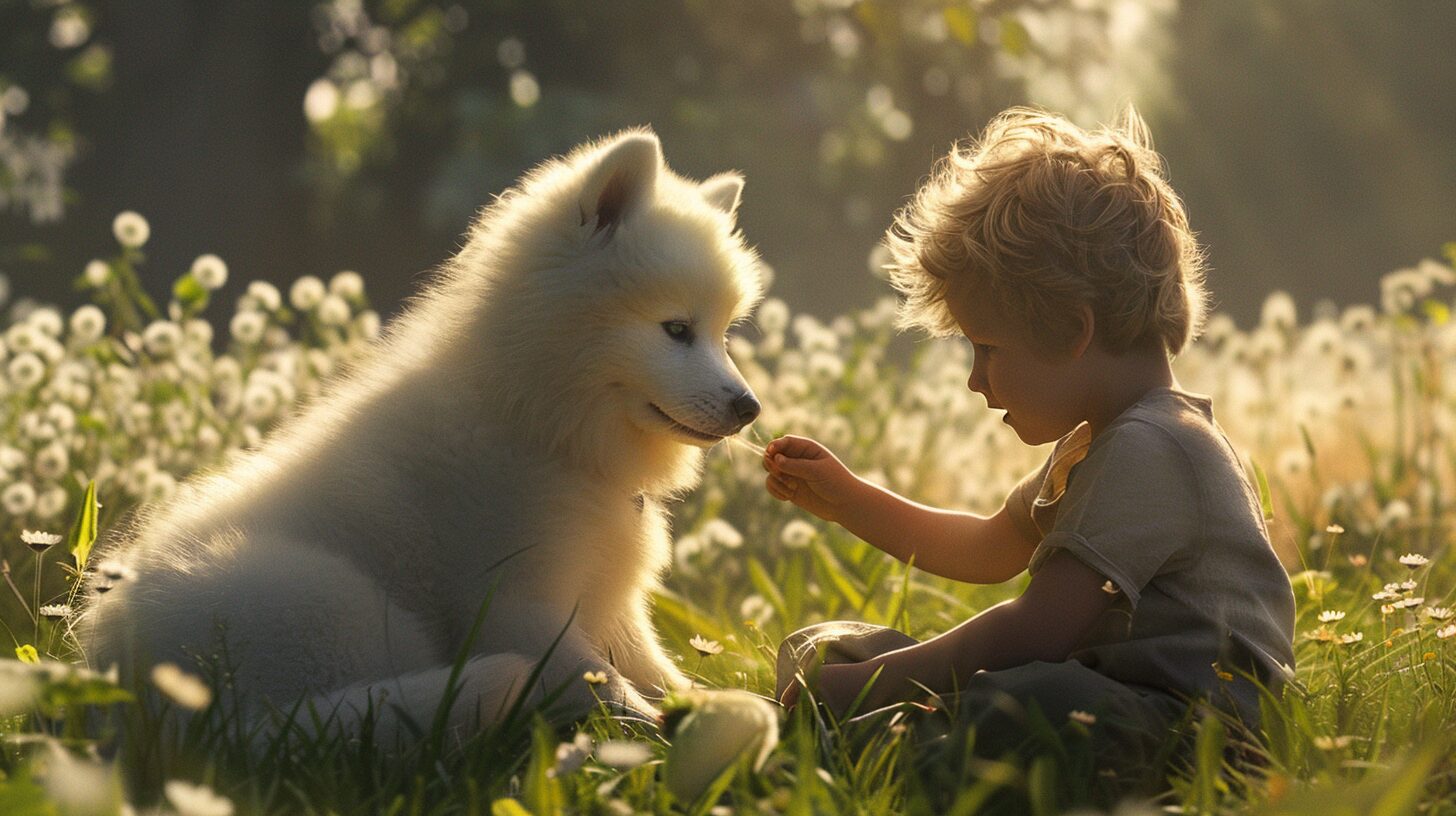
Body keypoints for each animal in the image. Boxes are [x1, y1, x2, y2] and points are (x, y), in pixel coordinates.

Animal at [82, 130, 762, 743]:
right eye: (676, 329)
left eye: (723, 332)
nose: (749, 408)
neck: (540, 425)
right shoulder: (516, 606)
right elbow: (611, 688)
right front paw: (660, 739)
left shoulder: (611, 605)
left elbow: (660, 673)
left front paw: (727, 708)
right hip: (335, 604)